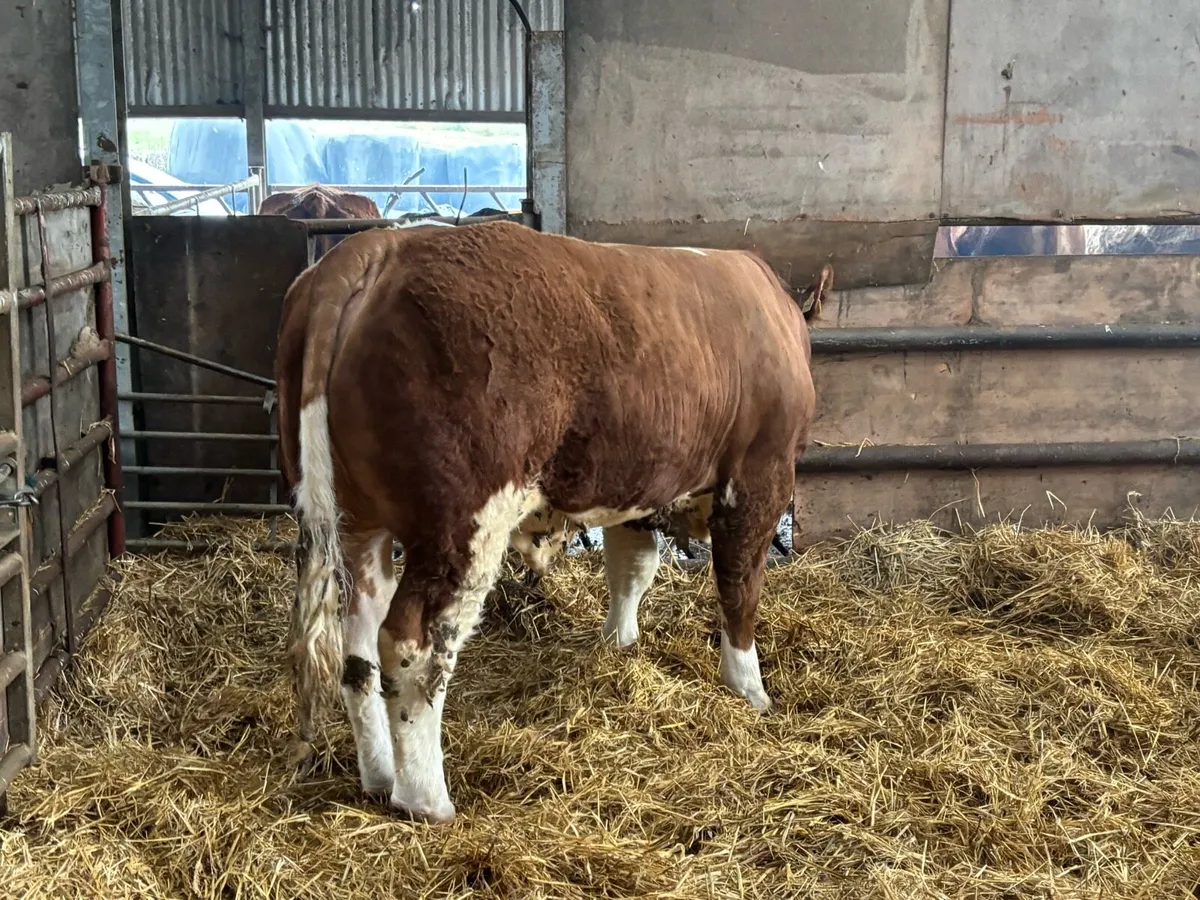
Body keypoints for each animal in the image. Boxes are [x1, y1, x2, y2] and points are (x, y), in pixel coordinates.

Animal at [275, 222, 820, 824]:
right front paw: (749, 689)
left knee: (359, 648)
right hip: (461, 528)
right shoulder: (761, 478)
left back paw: (378, 775)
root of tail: (379, 246)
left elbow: (633, 570)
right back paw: (426, 799)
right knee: (411, 646)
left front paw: (620, 645)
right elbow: (740, 588)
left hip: (356, 524)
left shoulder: (636, 488)